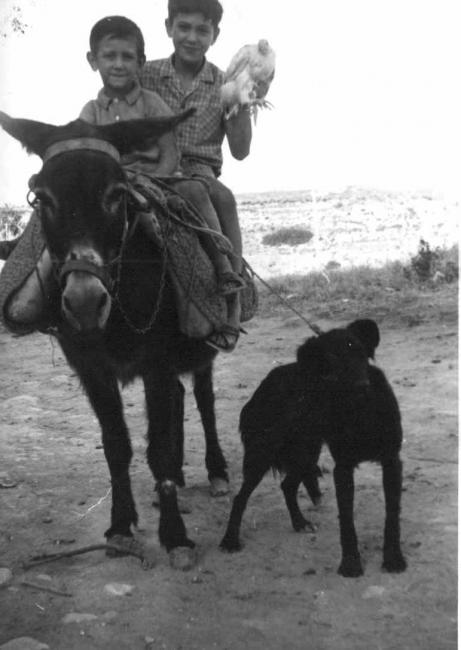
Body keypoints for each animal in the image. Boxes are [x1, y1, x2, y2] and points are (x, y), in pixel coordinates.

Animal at [0, 110, 229, 569]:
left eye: (116, 194)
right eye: (42, 198)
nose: (85, 301)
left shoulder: (157, 363)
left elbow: (157, 448)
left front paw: (175, 536)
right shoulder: (92, 370)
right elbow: (116, 447)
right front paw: (121, 526)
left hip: (200, 349)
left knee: (203, 400)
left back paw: (215, 472)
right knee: (179, 401)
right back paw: (178, 476)